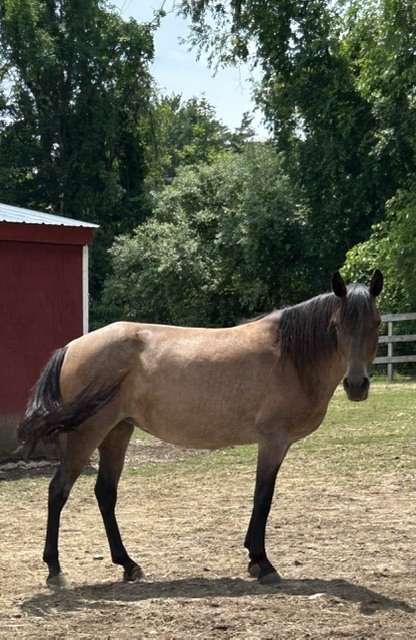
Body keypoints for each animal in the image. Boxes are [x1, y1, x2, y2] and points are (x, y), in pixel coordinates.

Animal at [19, 270, 383, 587]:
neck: (290, 355)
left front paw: (254, 559)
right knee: (58, 491)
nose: (356, 384)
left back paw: (128, 564)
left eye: (376, 323)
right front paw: (262, 562)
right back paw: (55, 570)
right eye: (337, 325)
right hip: (88, 434)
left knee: (105, 493)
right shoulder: (273, 441)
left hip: (117, 432)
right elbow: (263, 497)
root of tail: (71, 347)